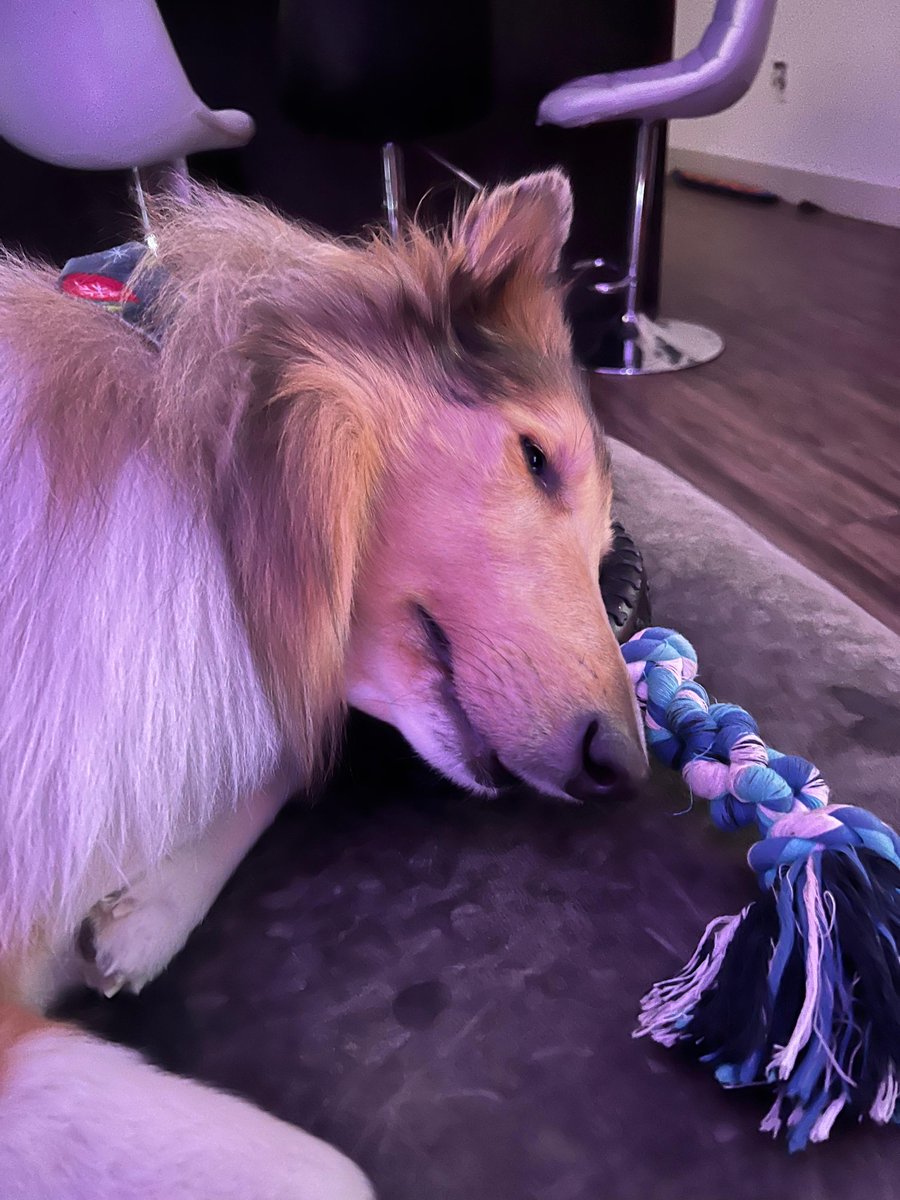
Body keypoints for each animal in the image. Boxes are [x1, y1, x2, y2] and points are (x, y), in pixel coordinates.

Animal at [0, 171, 648, 1200]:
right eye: (537, 458)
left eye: (602, 560)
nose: (623, 767)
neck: (216, 492)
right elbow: (326, 1173)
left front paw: (145, 911)